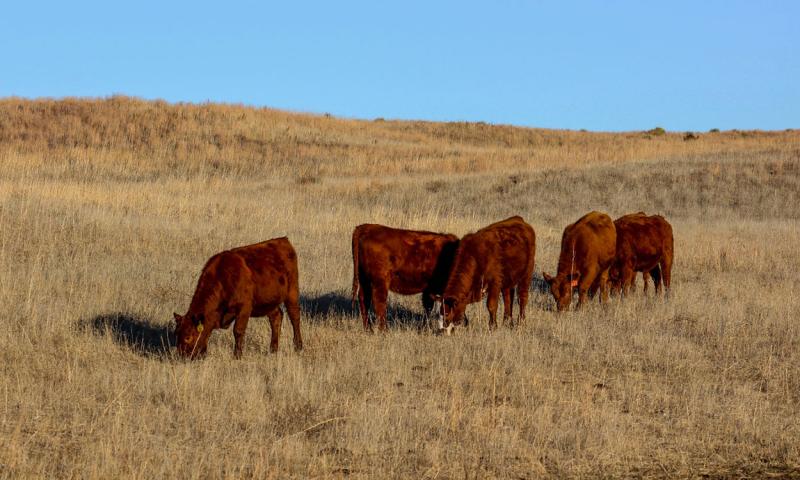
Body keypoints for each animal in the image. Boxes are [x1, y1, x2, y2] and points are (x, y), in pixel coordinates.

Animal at [173, 237, 303, 359]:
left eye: (188, 337)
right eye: (177, 334)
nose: (182, 356)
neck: (223, 277)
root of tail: (283, 240)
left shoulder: (244, 308)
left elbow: (238, 331)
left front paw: (237, 356)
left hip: (292, 293)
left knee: (295, 317)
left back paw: (298, 346)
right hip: (269, 302)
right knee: (276, 317)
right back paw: (273, 350)